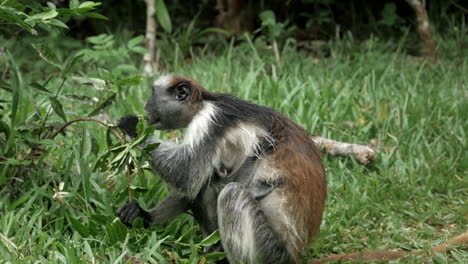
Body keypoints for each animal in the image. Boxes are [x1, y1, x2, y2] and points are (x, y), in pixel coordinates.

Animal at [119, 74, 328, 264]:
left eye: (153, 94)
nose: (146, 106)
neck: (205, 102)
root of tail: (295, 254)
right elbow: (194, 182)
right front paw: (144, 216)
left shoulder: (211, 120)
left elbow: (185, 173)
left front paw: (132, 127)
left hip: (270, 252)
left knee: (230, 192)